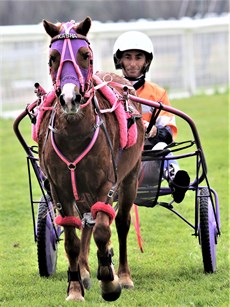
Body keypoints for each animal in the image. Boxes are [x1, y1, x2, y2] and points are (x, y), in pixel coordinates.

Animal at [38, 15, 145, 302]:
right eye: (52, 58)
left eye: (85, 55)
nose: (70, 98)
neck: (75, 133)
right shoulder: (60, 188)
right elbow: (72, 239)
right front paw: (75, 287)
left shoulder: (106, 184)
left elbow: (102, 230)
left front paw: (110, 281)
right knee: (85, 223)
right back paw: (86, 271)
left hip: (131, 176)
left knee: (120, 222)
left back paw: (124, 275)